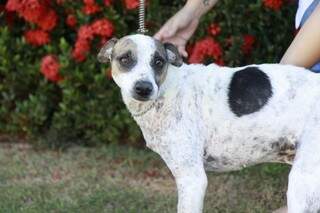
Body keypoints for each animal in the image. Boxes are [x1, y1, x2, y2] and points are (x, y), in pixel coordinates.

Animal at [97, 34, 320, 212]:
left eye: (158, 62)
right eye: (125, 59)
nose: (144, 88)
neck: (166, 90)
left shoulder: (192, 180)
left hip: (302, 184)